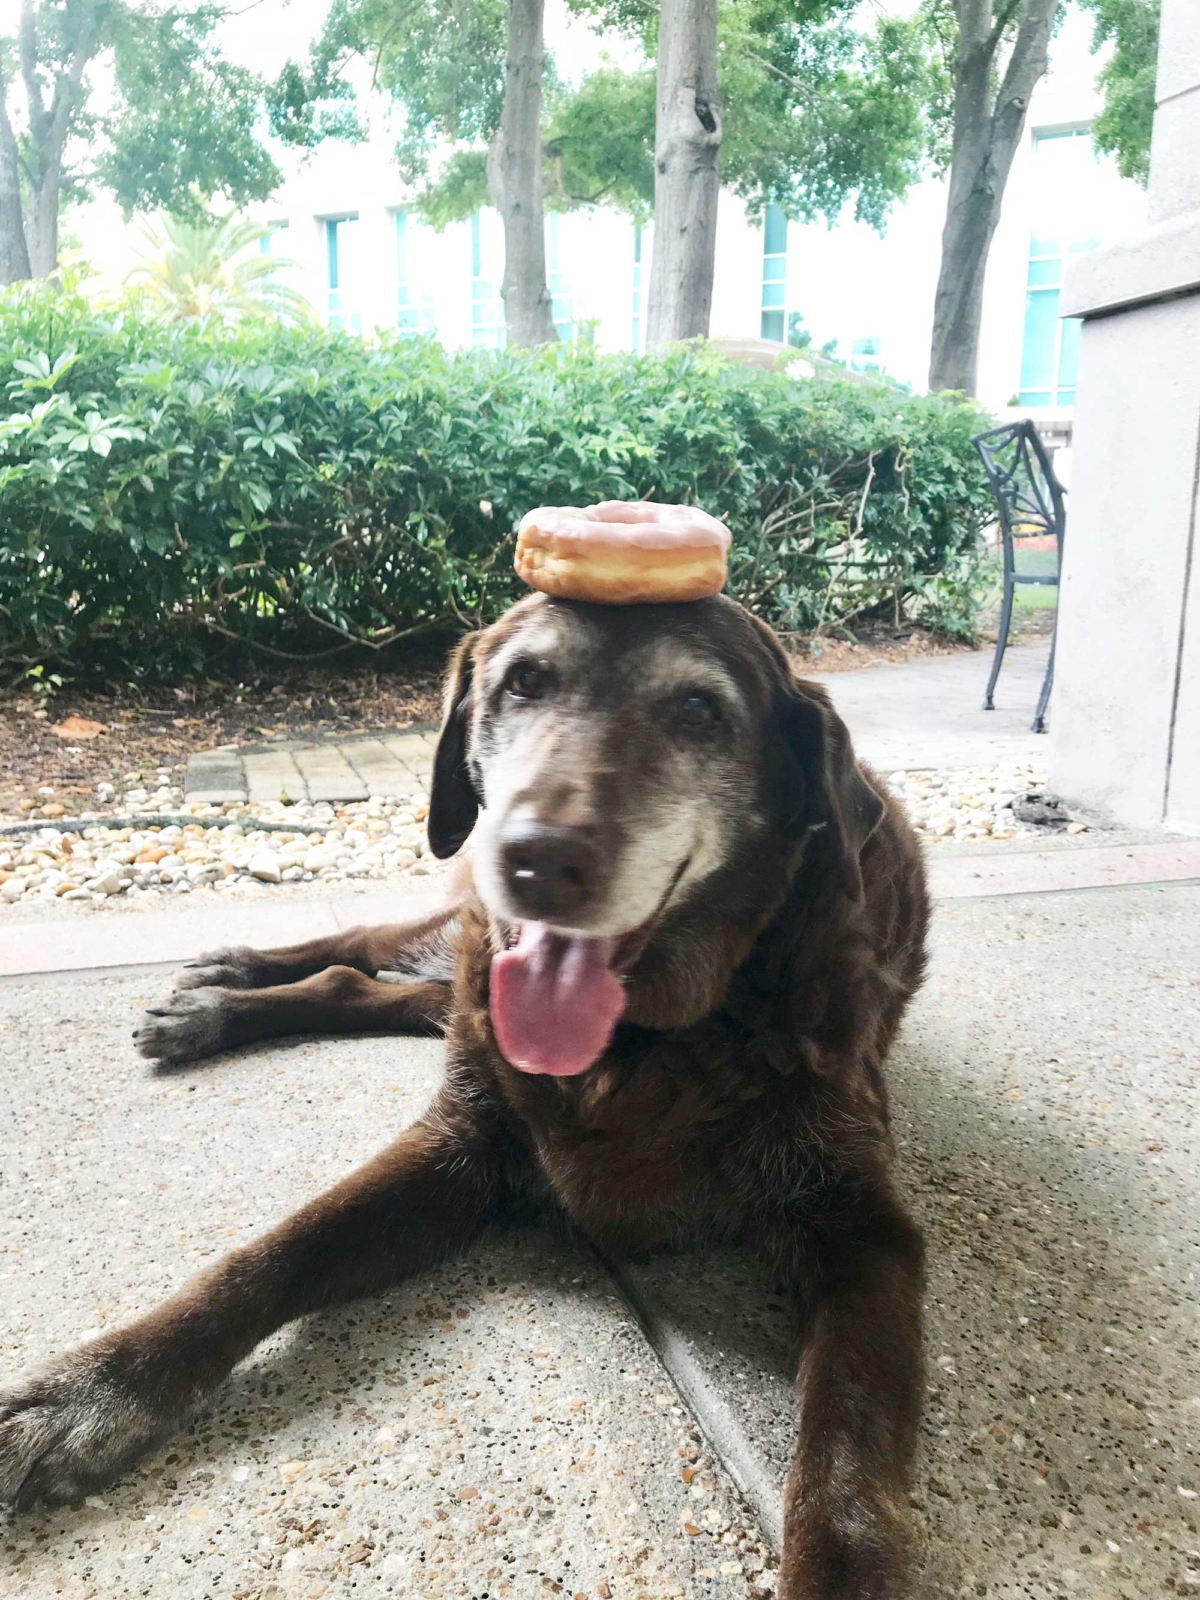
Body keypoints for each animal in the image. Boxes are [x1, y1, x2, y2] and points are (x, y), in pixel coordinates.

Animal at [0, 598, 928, 1600]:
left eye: (698, 710)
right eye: (523, 681)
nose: (535, 860)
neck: (642, 1046)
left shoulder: (863, 1235)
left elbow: (845, 1471)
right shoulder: (462, 1144)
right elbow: (266, 1257)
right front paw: (88, 1390)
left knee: (367, 987)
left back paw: (217, 1003)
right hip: (460, 932)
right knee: (358, 945)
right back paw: (225, 983)